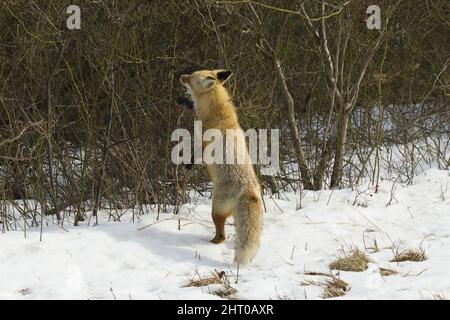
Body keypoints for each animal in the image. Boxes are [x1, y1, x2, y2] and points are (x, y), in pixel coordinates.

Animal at [179, 69, 264, 264]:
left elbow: (195, 152)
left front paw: (188, 163)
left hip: (215, 209)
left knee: (221, 235)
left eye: (190, 78)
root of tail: (249, 188)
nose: (180, 76)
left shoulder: (203, 145)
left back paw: (210, 243)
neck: (217, 116)